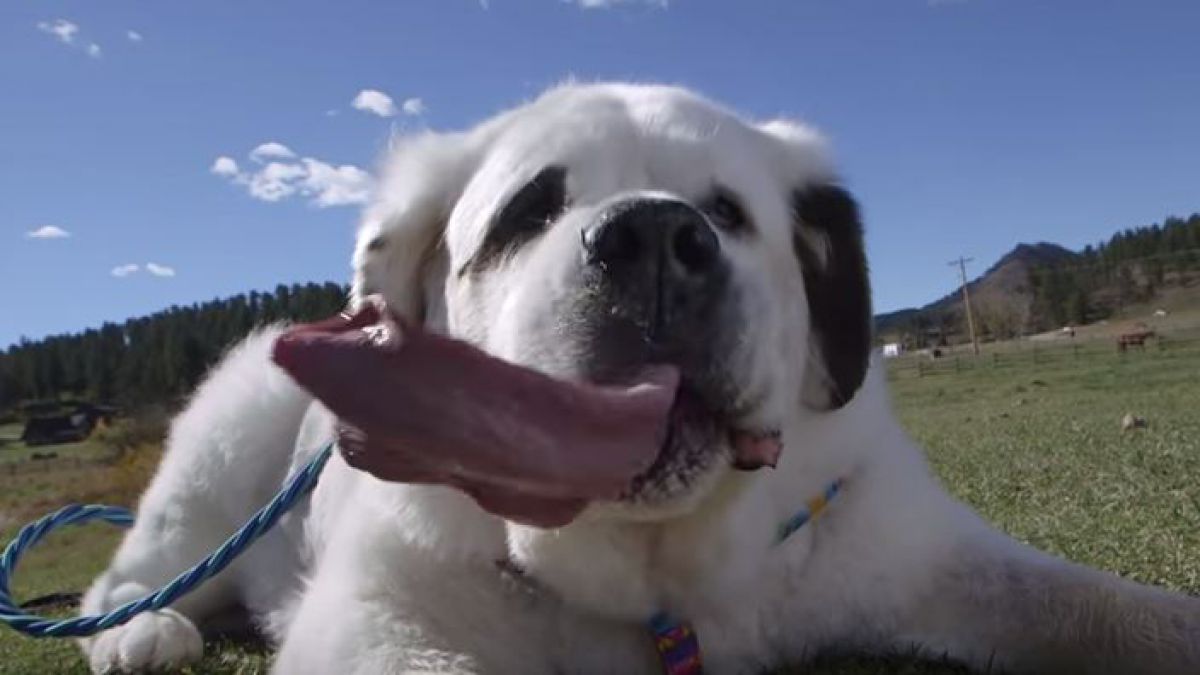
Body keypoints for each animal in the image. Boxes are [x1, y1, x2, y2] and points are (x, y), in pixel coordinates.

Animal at [79, 85, 1195, 672]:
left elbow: (1118, 607)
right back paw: (146, 628)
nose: (656, 236)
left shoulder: (914, 550)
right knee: (127, 577)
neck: (664, 573)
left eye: (730, 214)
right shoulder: (375, 620)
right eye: (528, 212)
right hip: (217, 462)